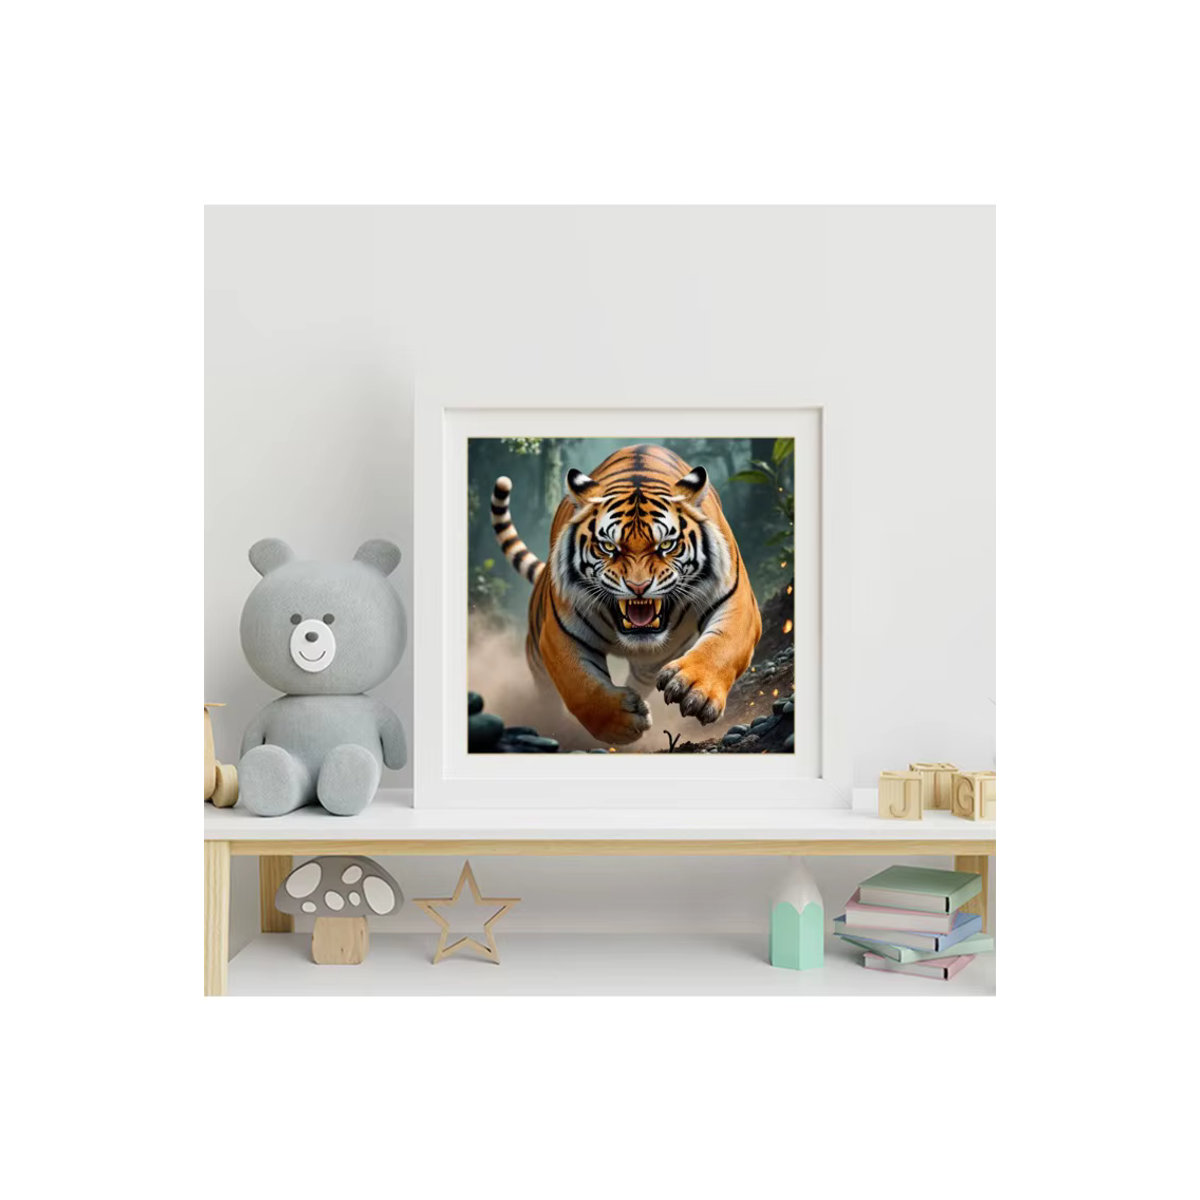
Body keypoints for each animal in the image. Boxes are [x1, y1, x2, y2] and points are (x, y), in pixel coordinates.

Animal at [490, 443, 762, 745]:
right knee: (545, 689)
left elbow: (724, 644)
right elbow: (579, 685)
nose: (638, 586)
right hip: (536, 651)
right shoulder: (558, 632)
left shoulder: (737, 600)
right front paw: (622, 722)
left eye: (666, 545)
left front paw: (694, 687)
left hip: (652, 662)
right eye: (609, 547)